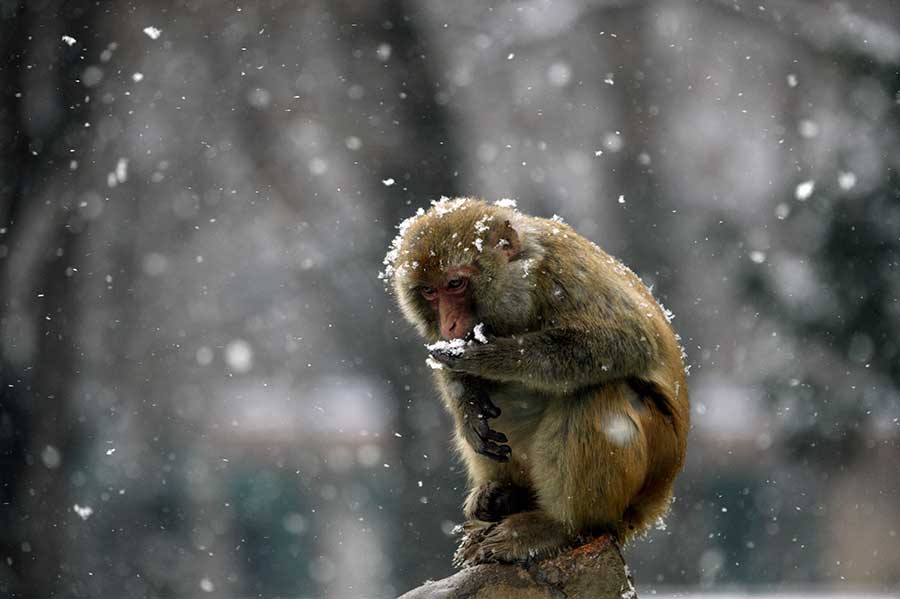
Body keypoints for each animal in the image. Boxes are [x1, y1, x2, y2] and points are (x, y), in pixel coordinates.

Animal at [380, 198, 688, 568]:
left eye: (454, 284)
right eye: (429, 291)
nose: (449, 323)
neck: (522, 285)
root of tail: (659, 496)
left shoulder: (565, 276)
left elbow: (628, 341)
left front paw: (494, 357)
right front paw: (467, 405)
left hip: (651, 460)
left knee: (600, 394)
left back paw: (559, 527)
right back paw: (502, 495)